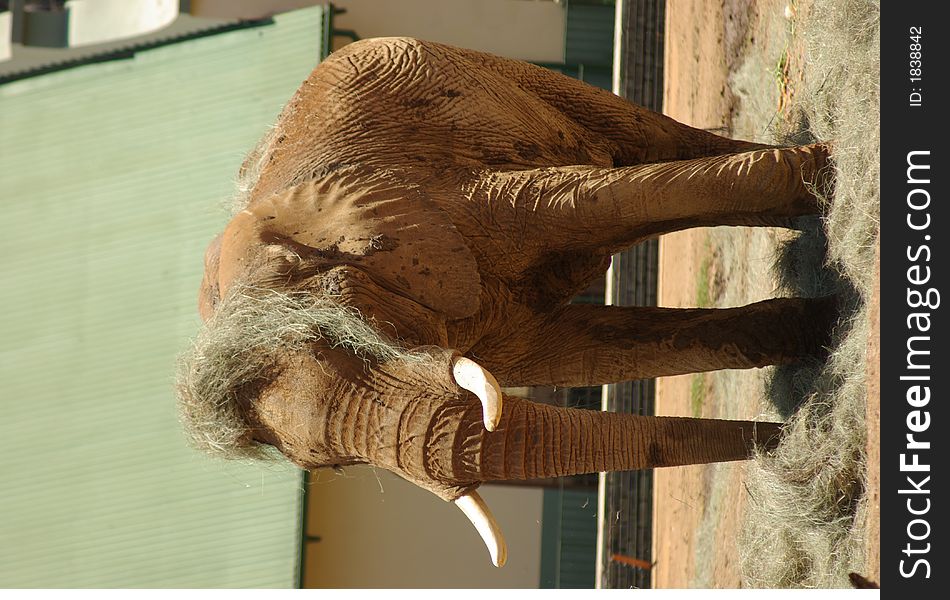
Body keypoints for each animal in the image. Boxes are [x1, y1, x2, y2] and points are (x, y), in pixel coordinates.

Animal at [175, 36, 836, 568]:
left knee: (649, 140)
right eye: (331, 470)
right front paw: (817, 334)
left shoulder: (432, 202)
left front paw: (825, 188)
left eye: (343, 333)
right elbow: (583, 351)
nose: (778, 439)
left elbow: (587, 203)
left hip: (506, 71)